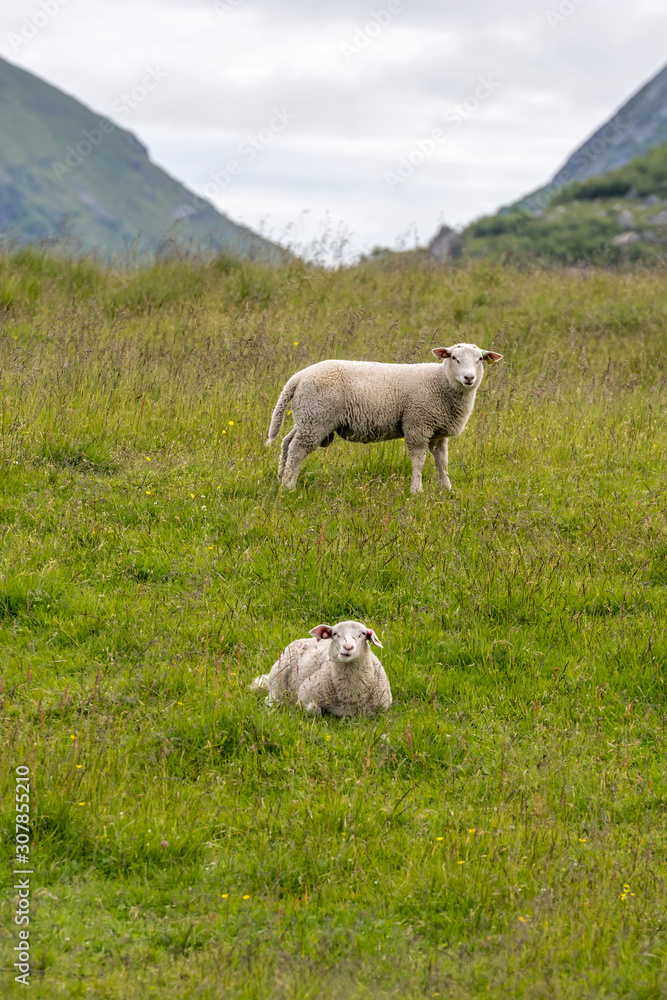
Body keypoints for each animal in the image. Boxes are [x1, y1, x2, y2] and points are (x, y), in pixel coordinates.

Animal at [251, 620, 392, 717]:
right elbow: (314, 710)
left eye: (363, 634)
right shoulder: (305, 692)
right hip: (278, 675)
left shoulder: (383, 708)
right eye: (335, 634)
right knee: (273, 696)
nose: (348, 647)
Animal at [265, 343, 503, 492]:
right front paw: (416, 490)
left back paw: (280, 478)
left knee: (287, 442)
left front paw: (447, 488)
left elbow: (442, 461)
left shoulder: (438, 432)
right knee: (297, 449)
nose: (469, 378)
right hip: (317, 418)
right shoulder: (417, 424)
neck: (440, 382)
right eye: (454, 358)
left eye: (480, 359)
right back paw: (289, 486)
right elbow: (419, 459)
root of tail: (298, 377)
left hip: (308, 417)